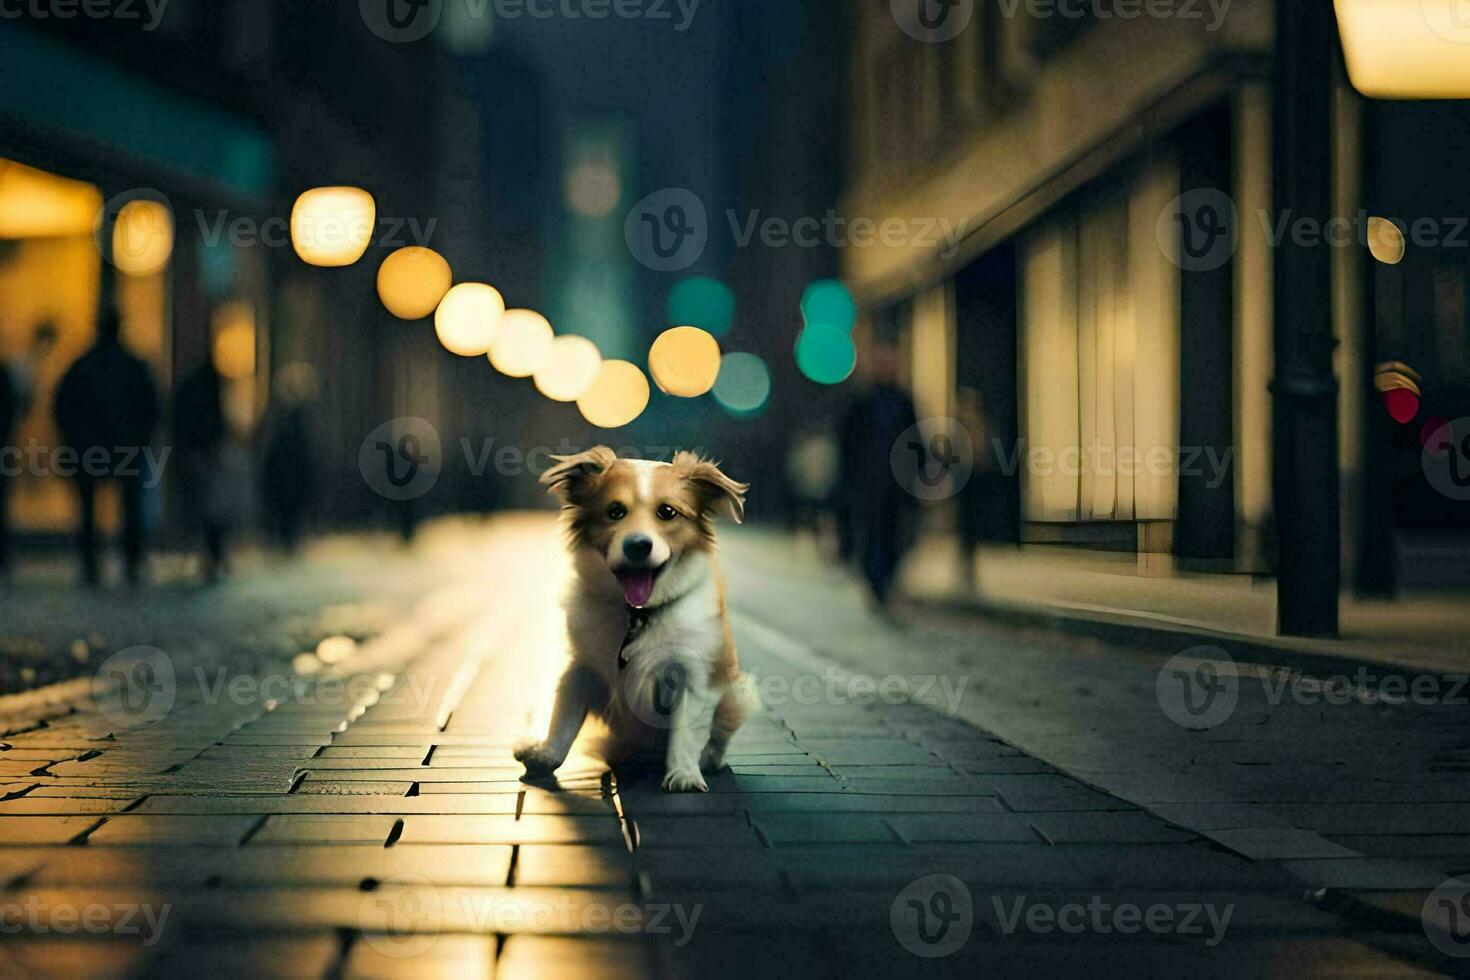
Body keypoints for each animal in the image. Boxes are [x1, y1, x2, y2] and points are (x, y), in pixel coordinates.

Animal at [517, 449, 758, 793]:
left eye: (667, 512)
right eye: (615, 511)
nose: (638, 545)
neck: (638, 614)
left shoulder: (693, 673)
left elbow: (687, 732)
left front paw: (684, 773)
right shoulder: (579, 667)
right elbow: (563, 717)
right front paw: (547, 756)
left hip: (736, 695)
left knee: (717, 737)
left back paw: (709, 760)